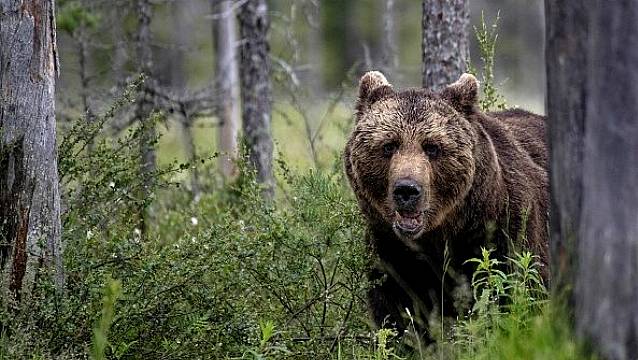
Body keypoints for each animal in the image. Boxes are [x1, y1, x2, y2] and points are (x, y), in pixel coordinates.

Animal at [344, 71, 552, 338]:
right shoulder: (391, 252)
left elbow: (514, 295)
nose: (407, 190)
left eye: (432, 147)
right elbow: (396, 314)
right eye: (389, 145)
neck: (442, 233)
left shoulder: (505, 233)